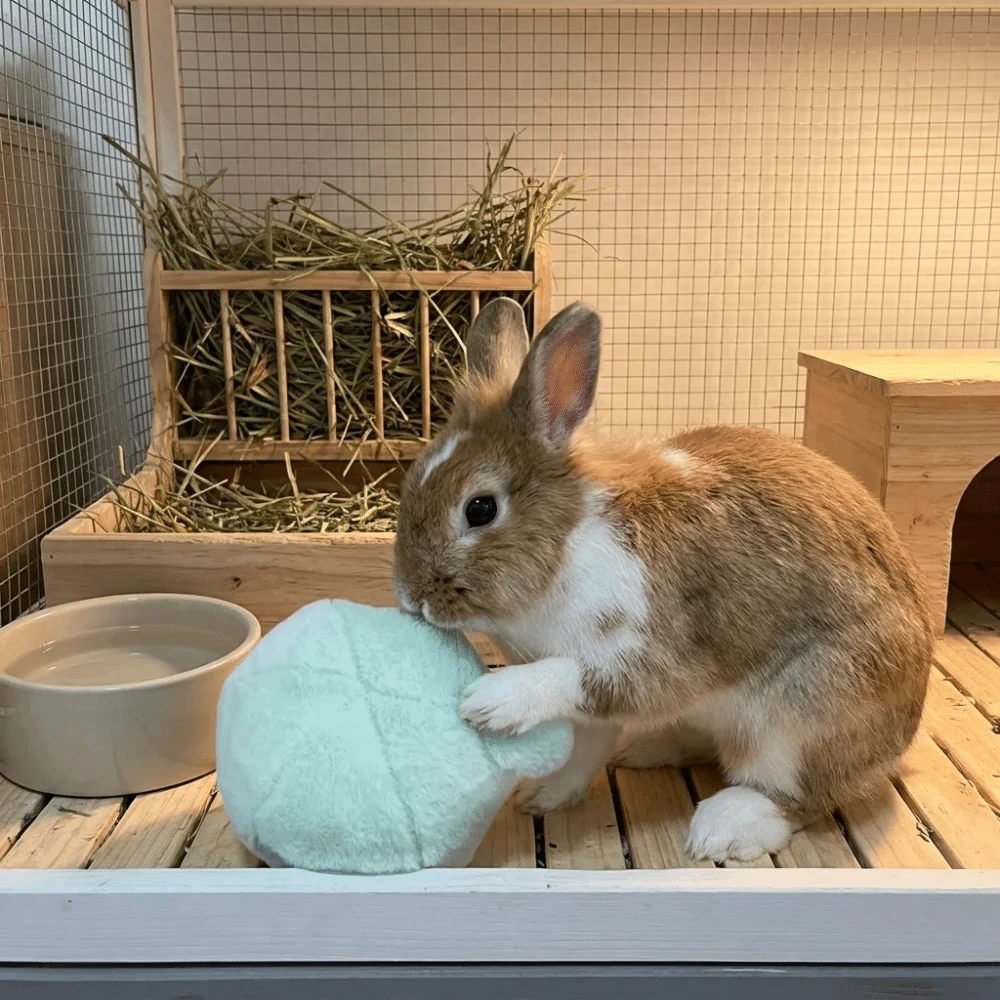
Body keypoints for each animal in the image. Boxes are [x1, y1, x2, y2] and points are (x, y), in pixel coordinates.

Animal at [392, 296, 933, 863]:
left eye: (480, 509)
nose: (410, 596)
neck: (569, 544)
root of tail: (896, 746)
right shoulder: (594, 713)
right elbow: (584, 749)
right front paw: (544, 796)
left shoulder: (658, 653)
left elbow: (582, 679)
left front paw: (493, 701)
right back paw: (646, 750)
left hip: (803, 719)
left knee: (800, 797)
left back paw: (724, 827)